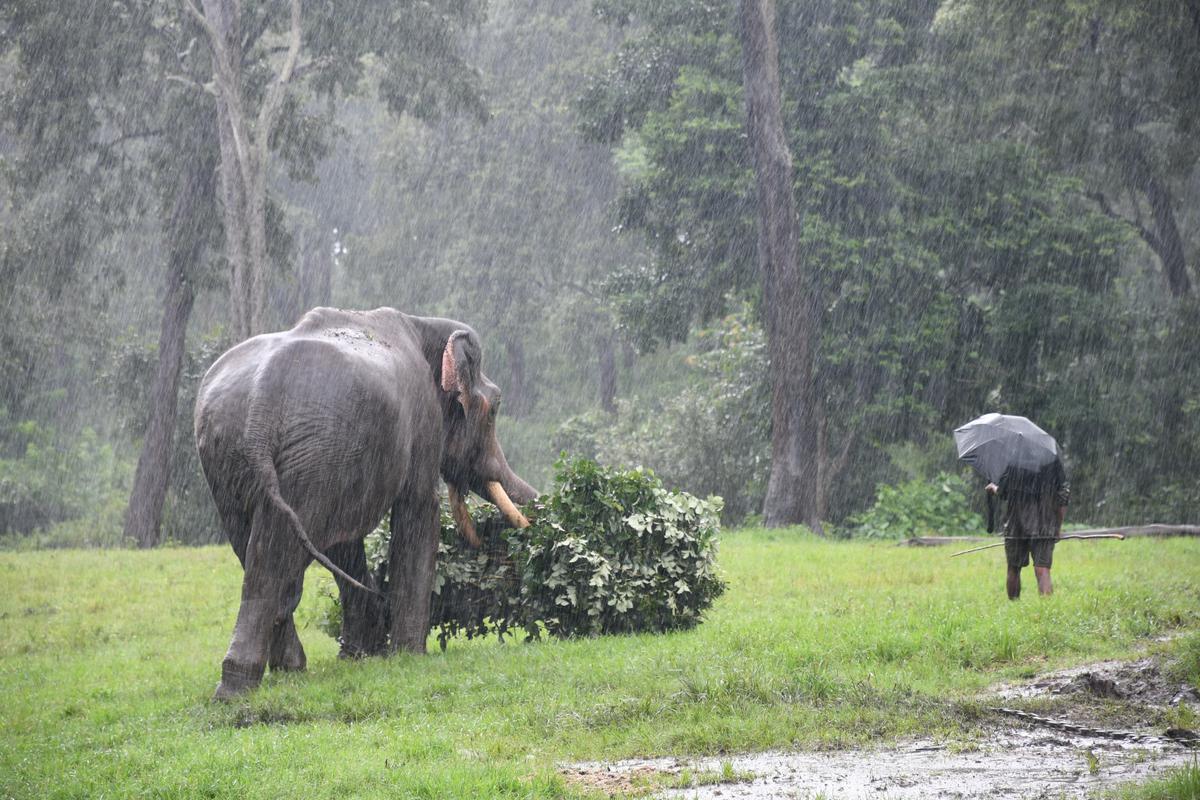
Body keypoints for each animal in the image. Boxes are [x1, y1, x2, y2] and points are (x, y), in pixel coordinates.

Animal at [195, 309, 535, 700]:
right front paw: (408, 655)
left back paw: (271, 675)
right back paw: (242, 685)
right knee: (275, 556)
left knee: (258, 551)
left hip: (233, 460)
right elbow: (418, 511)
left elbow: (344, 542)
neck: (422, 324)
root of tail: (259, 408)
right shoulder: (420, 424)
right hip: (311, 453)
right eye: (495, 408)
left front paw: (360, 656)